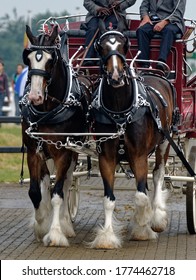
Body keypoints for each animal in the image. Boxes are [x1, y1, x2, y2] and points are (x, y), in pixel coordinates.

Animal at [20, 25, 88, 246]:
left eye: (51, 60)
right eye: (28, 59)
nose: (35, 97)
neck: (47, 111)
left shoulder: (64, 153)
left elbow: (58, 193)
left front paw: (56, 232)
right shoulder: (34, 151)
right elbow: (35, 191)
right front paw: (41, 224)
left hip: (73, 153)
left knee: (66, 185)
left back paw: (66, 225)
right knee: (48, 183)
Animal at [91, 25, 177, 248]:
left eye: (124, 45)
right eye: (101, 47)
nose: (115, 76)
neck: (120, 111)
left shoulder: (138, 155)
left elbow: (141, 196)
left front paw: (143, 228)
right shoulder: (106, 157)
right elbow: (109, 199)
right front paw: (107, 237)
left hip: (164, 143)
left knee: (157, 175)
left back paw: (156, 217)